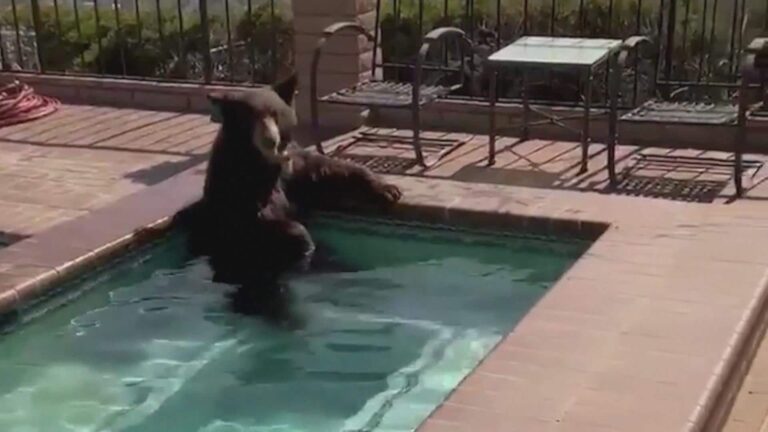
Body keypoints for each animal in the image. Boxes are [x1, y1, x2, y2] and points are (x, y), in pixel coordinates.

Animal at [174, 72, 402, 318]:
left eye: (275, 114)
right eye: (250, 117)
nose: (270, 139)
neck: (262, 162)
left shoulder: (293, 169)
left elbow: (326, 171)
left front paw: (388, 189)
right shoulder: (235, 186)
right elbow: (251, 222)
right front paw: (301, 237)